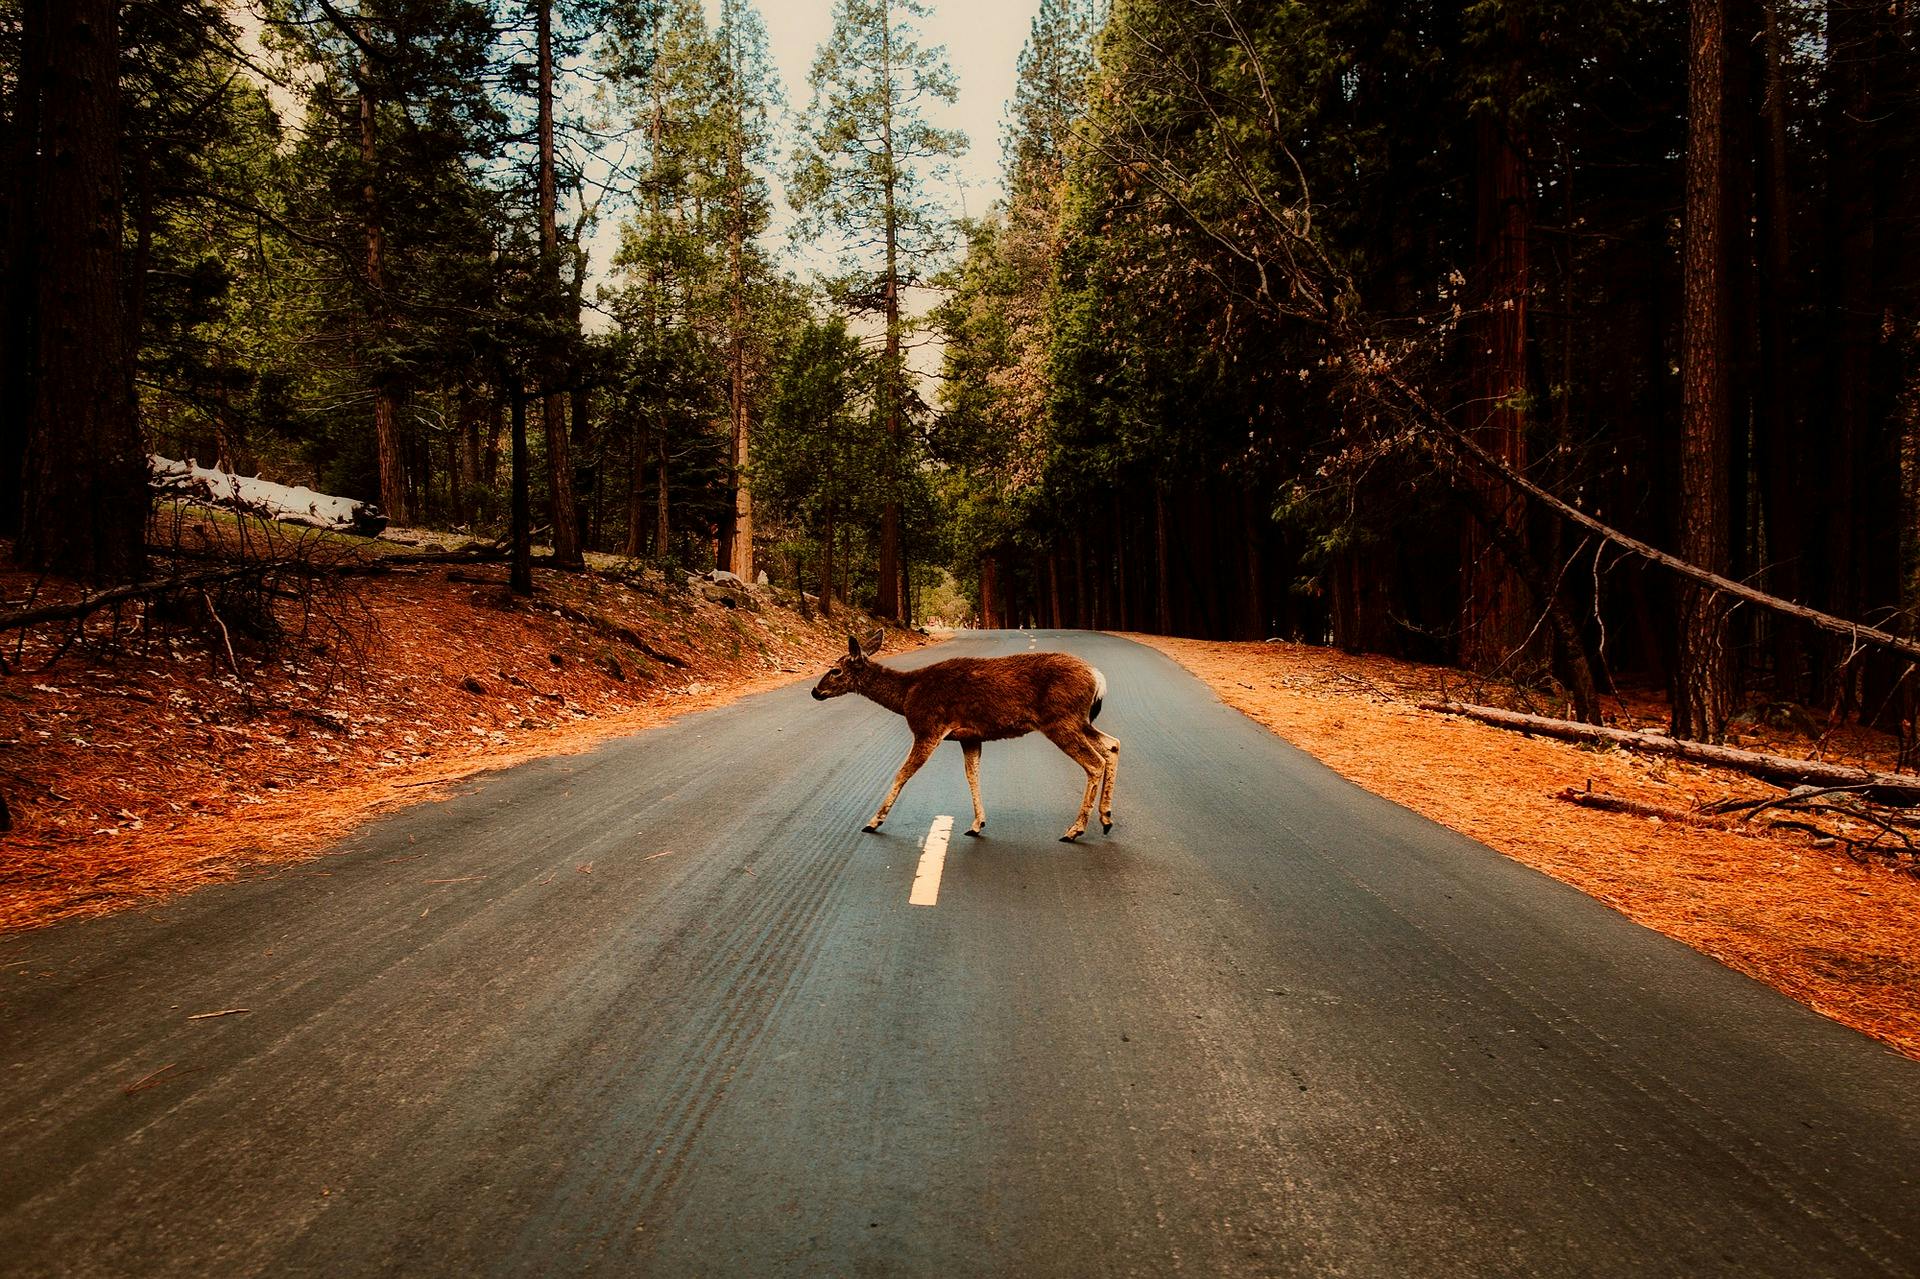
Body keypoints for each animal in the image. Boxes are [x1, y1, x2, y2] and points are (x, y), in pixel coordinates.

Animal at [814, 626, 1121, 837]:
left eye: (835, 670)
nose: (815, 691)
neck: (906, 696)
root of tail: (1098, 677)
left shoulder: (929, 727)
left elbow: (903, 773)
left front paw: (873, 822)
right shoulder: (970, 736)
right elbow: (972, 774)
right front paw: (977, 824)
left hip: (1061, 720)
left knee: (1095, 762)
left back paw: (1075, 829)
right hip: (1079, 720)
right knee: (1112, 744)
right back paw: (1105, 819)